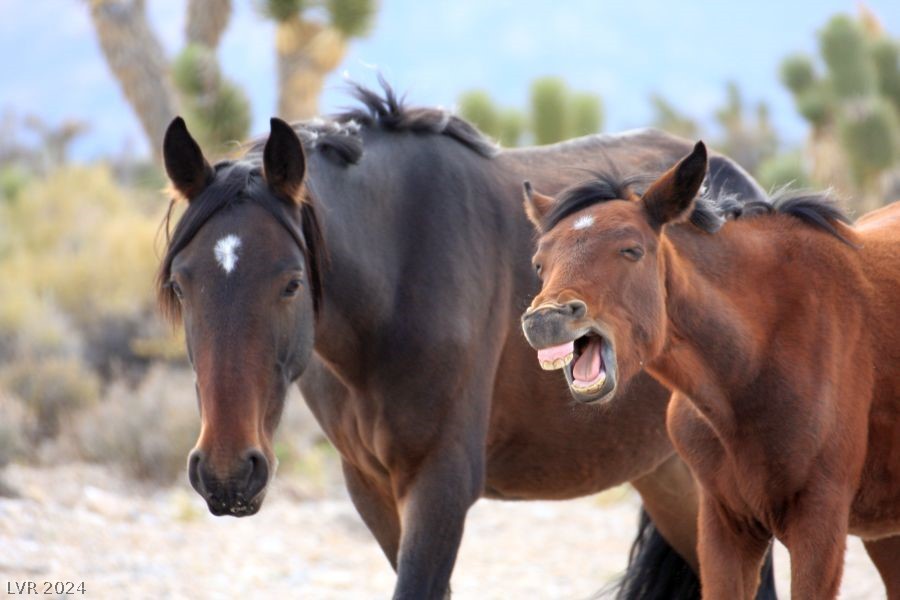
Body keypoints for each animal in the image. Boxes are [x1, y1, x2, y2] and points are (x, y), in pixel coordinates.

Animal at [155, 82, 772, 596]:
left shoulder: (441, 487)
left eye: (291, 282)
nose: (227, 474)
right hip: (669, 475)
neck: (398, 279)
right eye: (181, 285)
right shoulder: (372, 490)